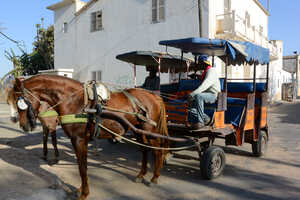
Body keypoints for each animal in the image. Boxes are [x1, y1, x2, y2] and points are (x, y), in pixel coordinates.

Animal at [11, 74, 170, 199]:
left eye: (19, 101)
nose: (23, 125)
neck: (74, 100)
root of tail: (154, 96)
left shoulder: (79, 140)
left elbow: (82, 168)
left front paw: (84, 194)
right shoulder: (78, 141)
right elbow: (82, 166)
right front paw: (81, 190)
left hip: (150, 131)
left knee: (157, 151)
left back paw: (154, 177)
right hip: (139, 131)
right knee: (144, 150)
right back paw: (141, 175)